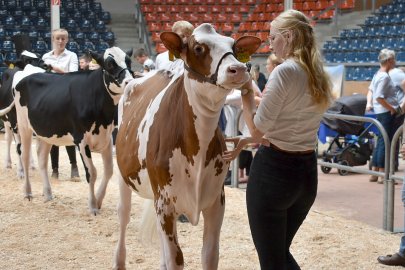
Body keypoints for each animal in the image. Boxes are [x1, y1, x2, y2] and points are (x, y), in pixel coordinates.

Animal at [8, 47, 133, 215]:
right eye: (110, 64)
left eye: (129, 61)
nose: (129, 81)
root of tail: (28, 71)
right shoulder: (81, 139)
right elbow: (92, 173)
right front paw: (93, 206)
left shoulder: (107, 138)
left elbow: (109, 171)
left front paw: (99, 199)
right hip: (23, 126)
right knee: (25, 157)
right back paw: (27, 193)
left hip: (47, 132)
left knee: (42, 159)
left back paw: (48, 193)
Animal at [112, 24, 260, 268]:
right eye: (198, 48)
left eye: (234, 47)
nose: (239, 68)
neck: (196, 151)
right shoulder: (165, 204)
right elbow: (176, 258)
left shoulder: (216, 201)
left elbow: (209, 254)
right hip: (125, 176)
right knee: (123, 216)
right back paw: (119, 261)